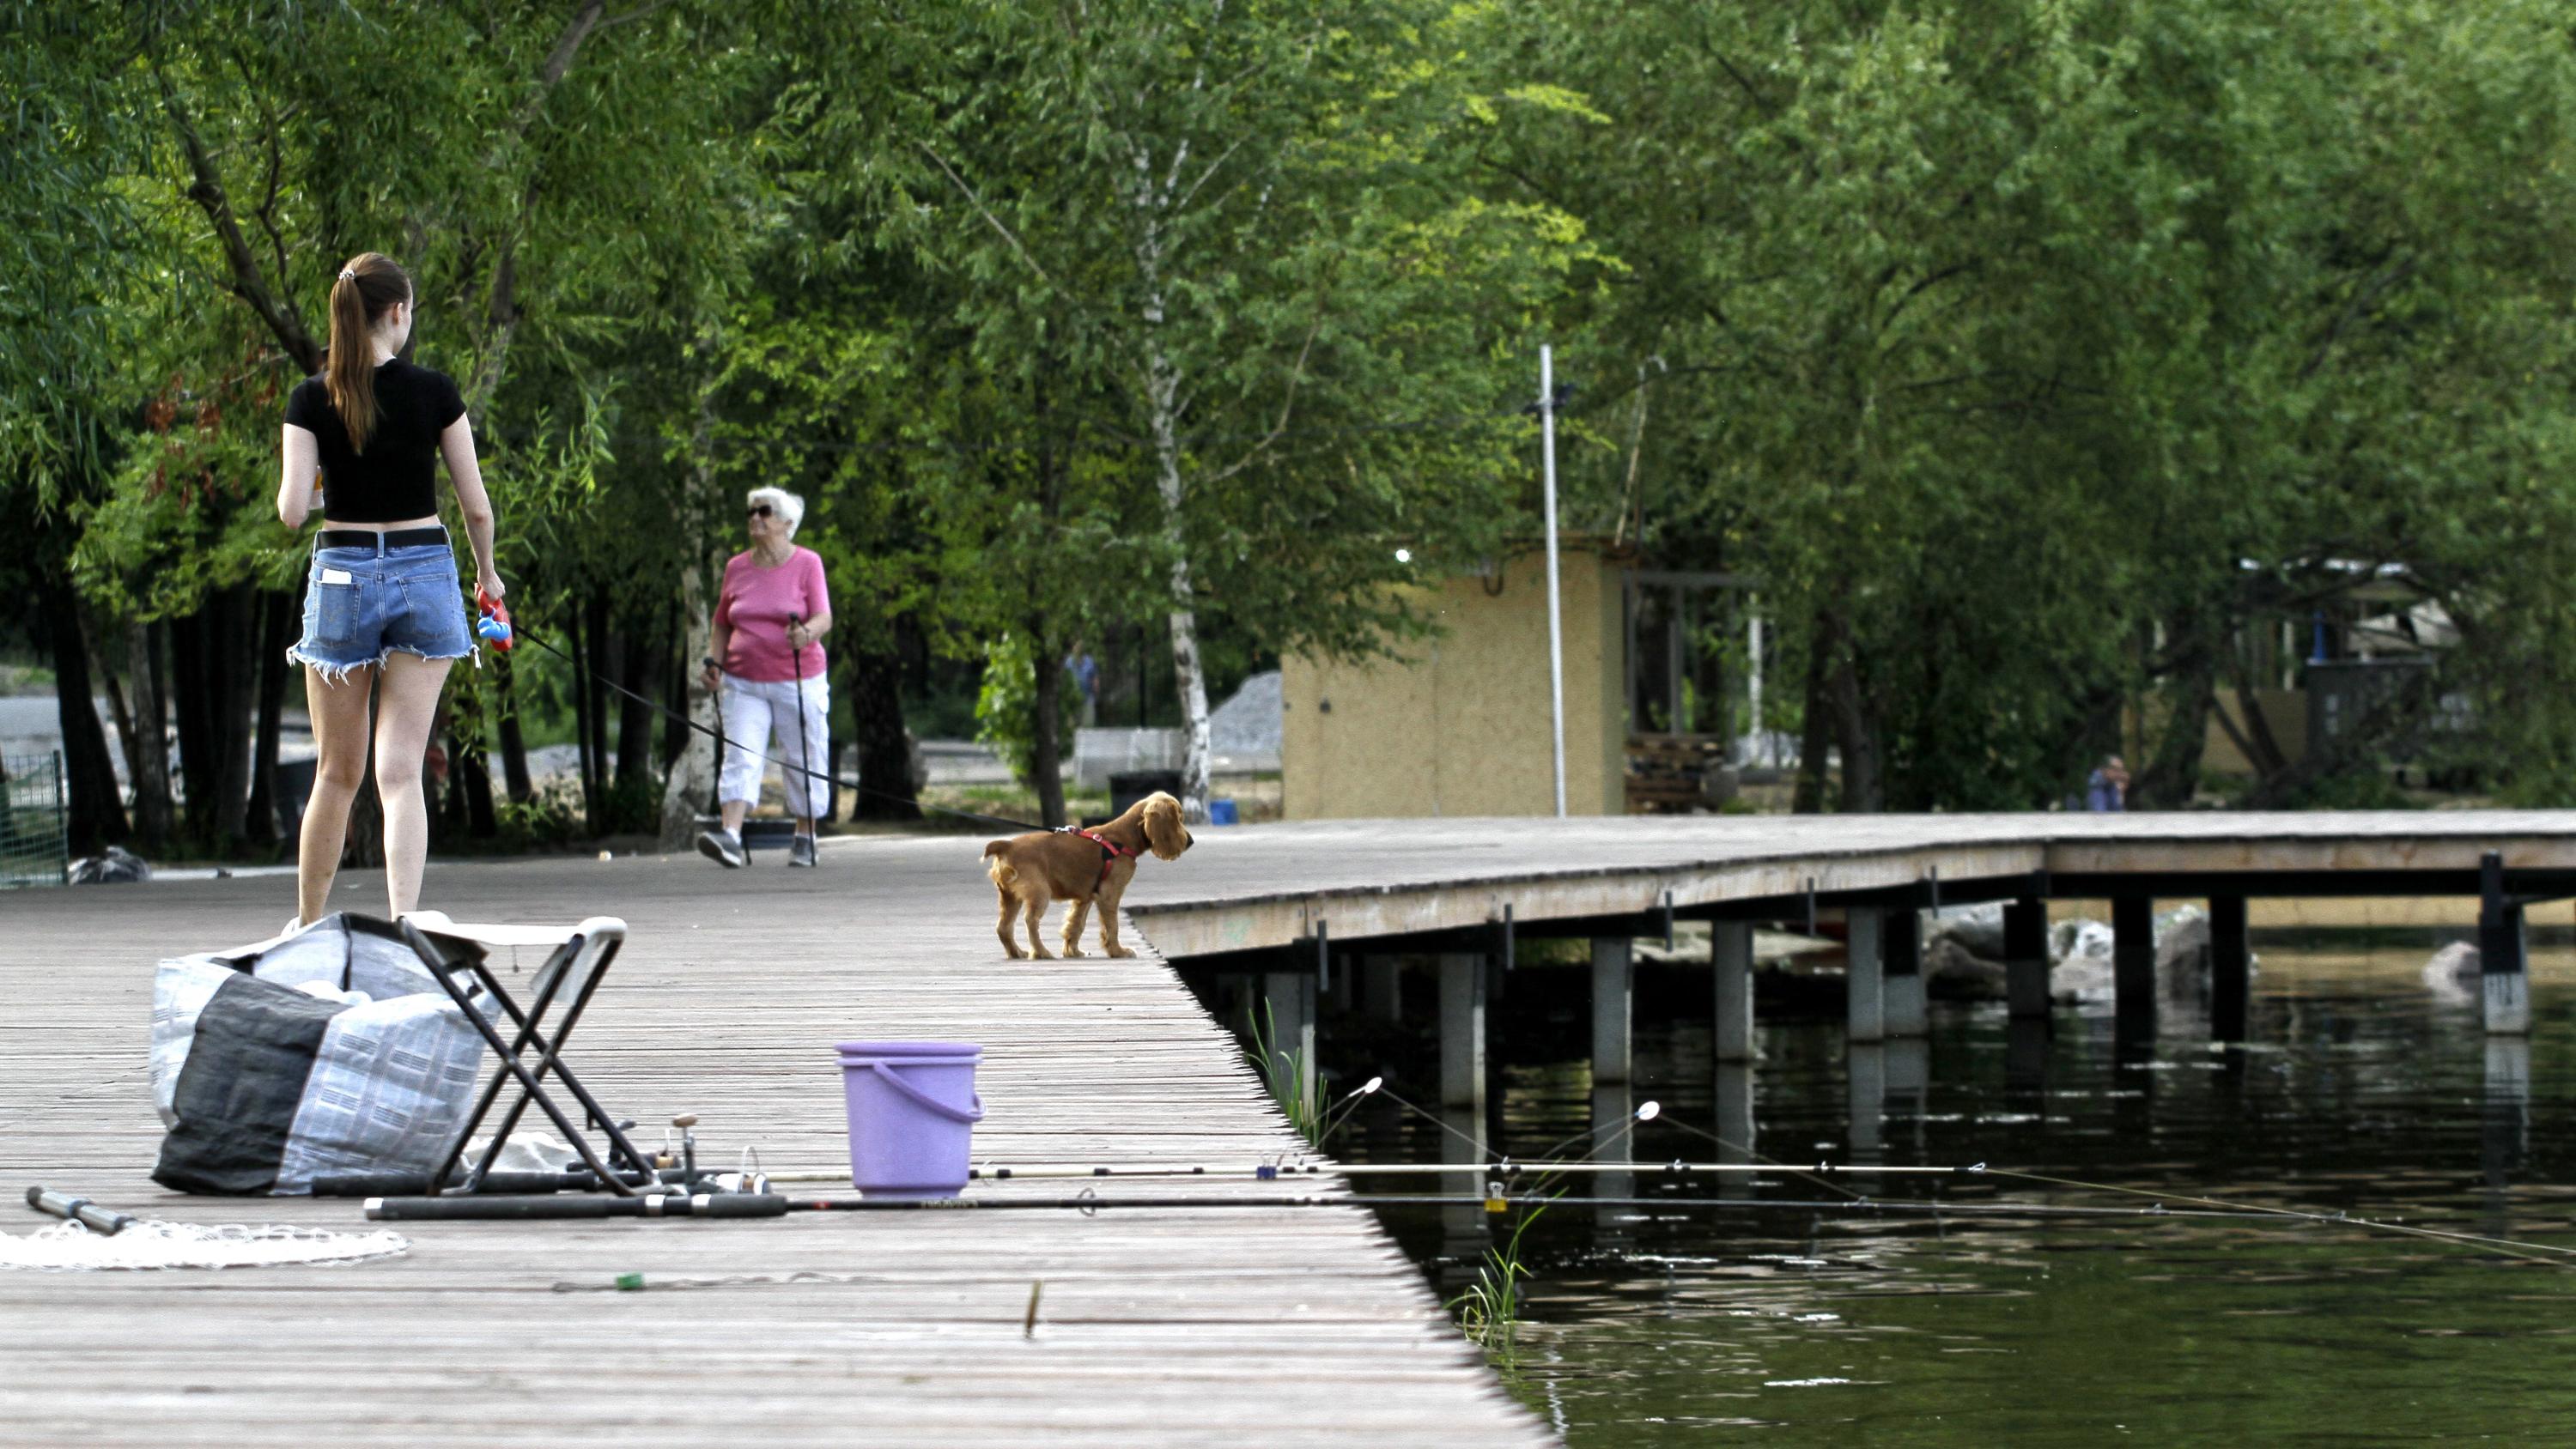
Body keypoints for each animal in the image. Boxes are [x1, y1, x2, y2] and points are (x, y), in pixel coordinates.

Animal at [979, 792, 1190, 962]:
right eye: (1179, 818)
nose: (1190, 841)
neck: (1123, 837)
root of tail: (1006, 845)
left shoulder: (1085, 897)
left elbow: (1076, 924)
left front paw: (1072, 951)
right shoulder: (1109, 894)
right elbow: (1112, 926)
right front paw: (1118, 952)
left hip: (1008, 896)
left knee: (1003, 927)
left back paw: (1017, 953)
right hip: (1039, 893)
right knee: (1030, 921)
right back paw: (1041, 952)